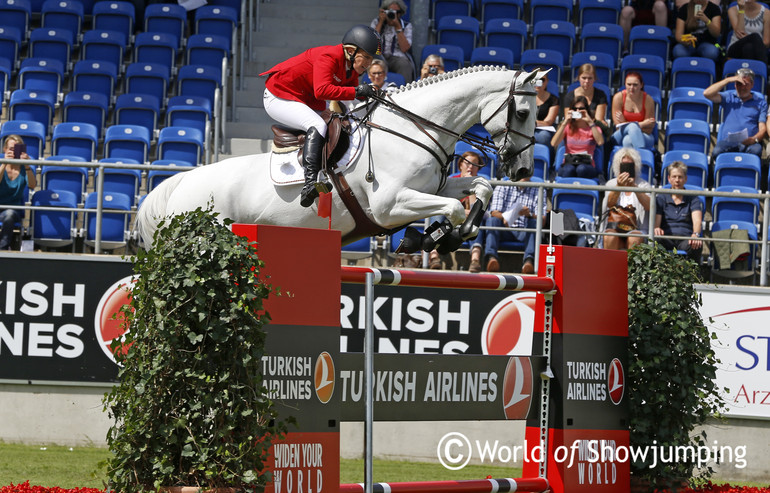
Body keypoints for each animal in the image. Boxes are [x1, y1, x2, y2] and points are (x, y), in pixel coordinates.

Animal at [135, 65, 540, 250]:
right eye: (522, 112)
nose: (524, 169)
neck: (414, 127)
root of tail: (180, 183)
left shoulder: (434, 188)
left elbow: (481, 186)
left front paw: (449, 235)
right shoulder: (390, 205)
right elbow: (453, 209)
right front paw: (430, 238)